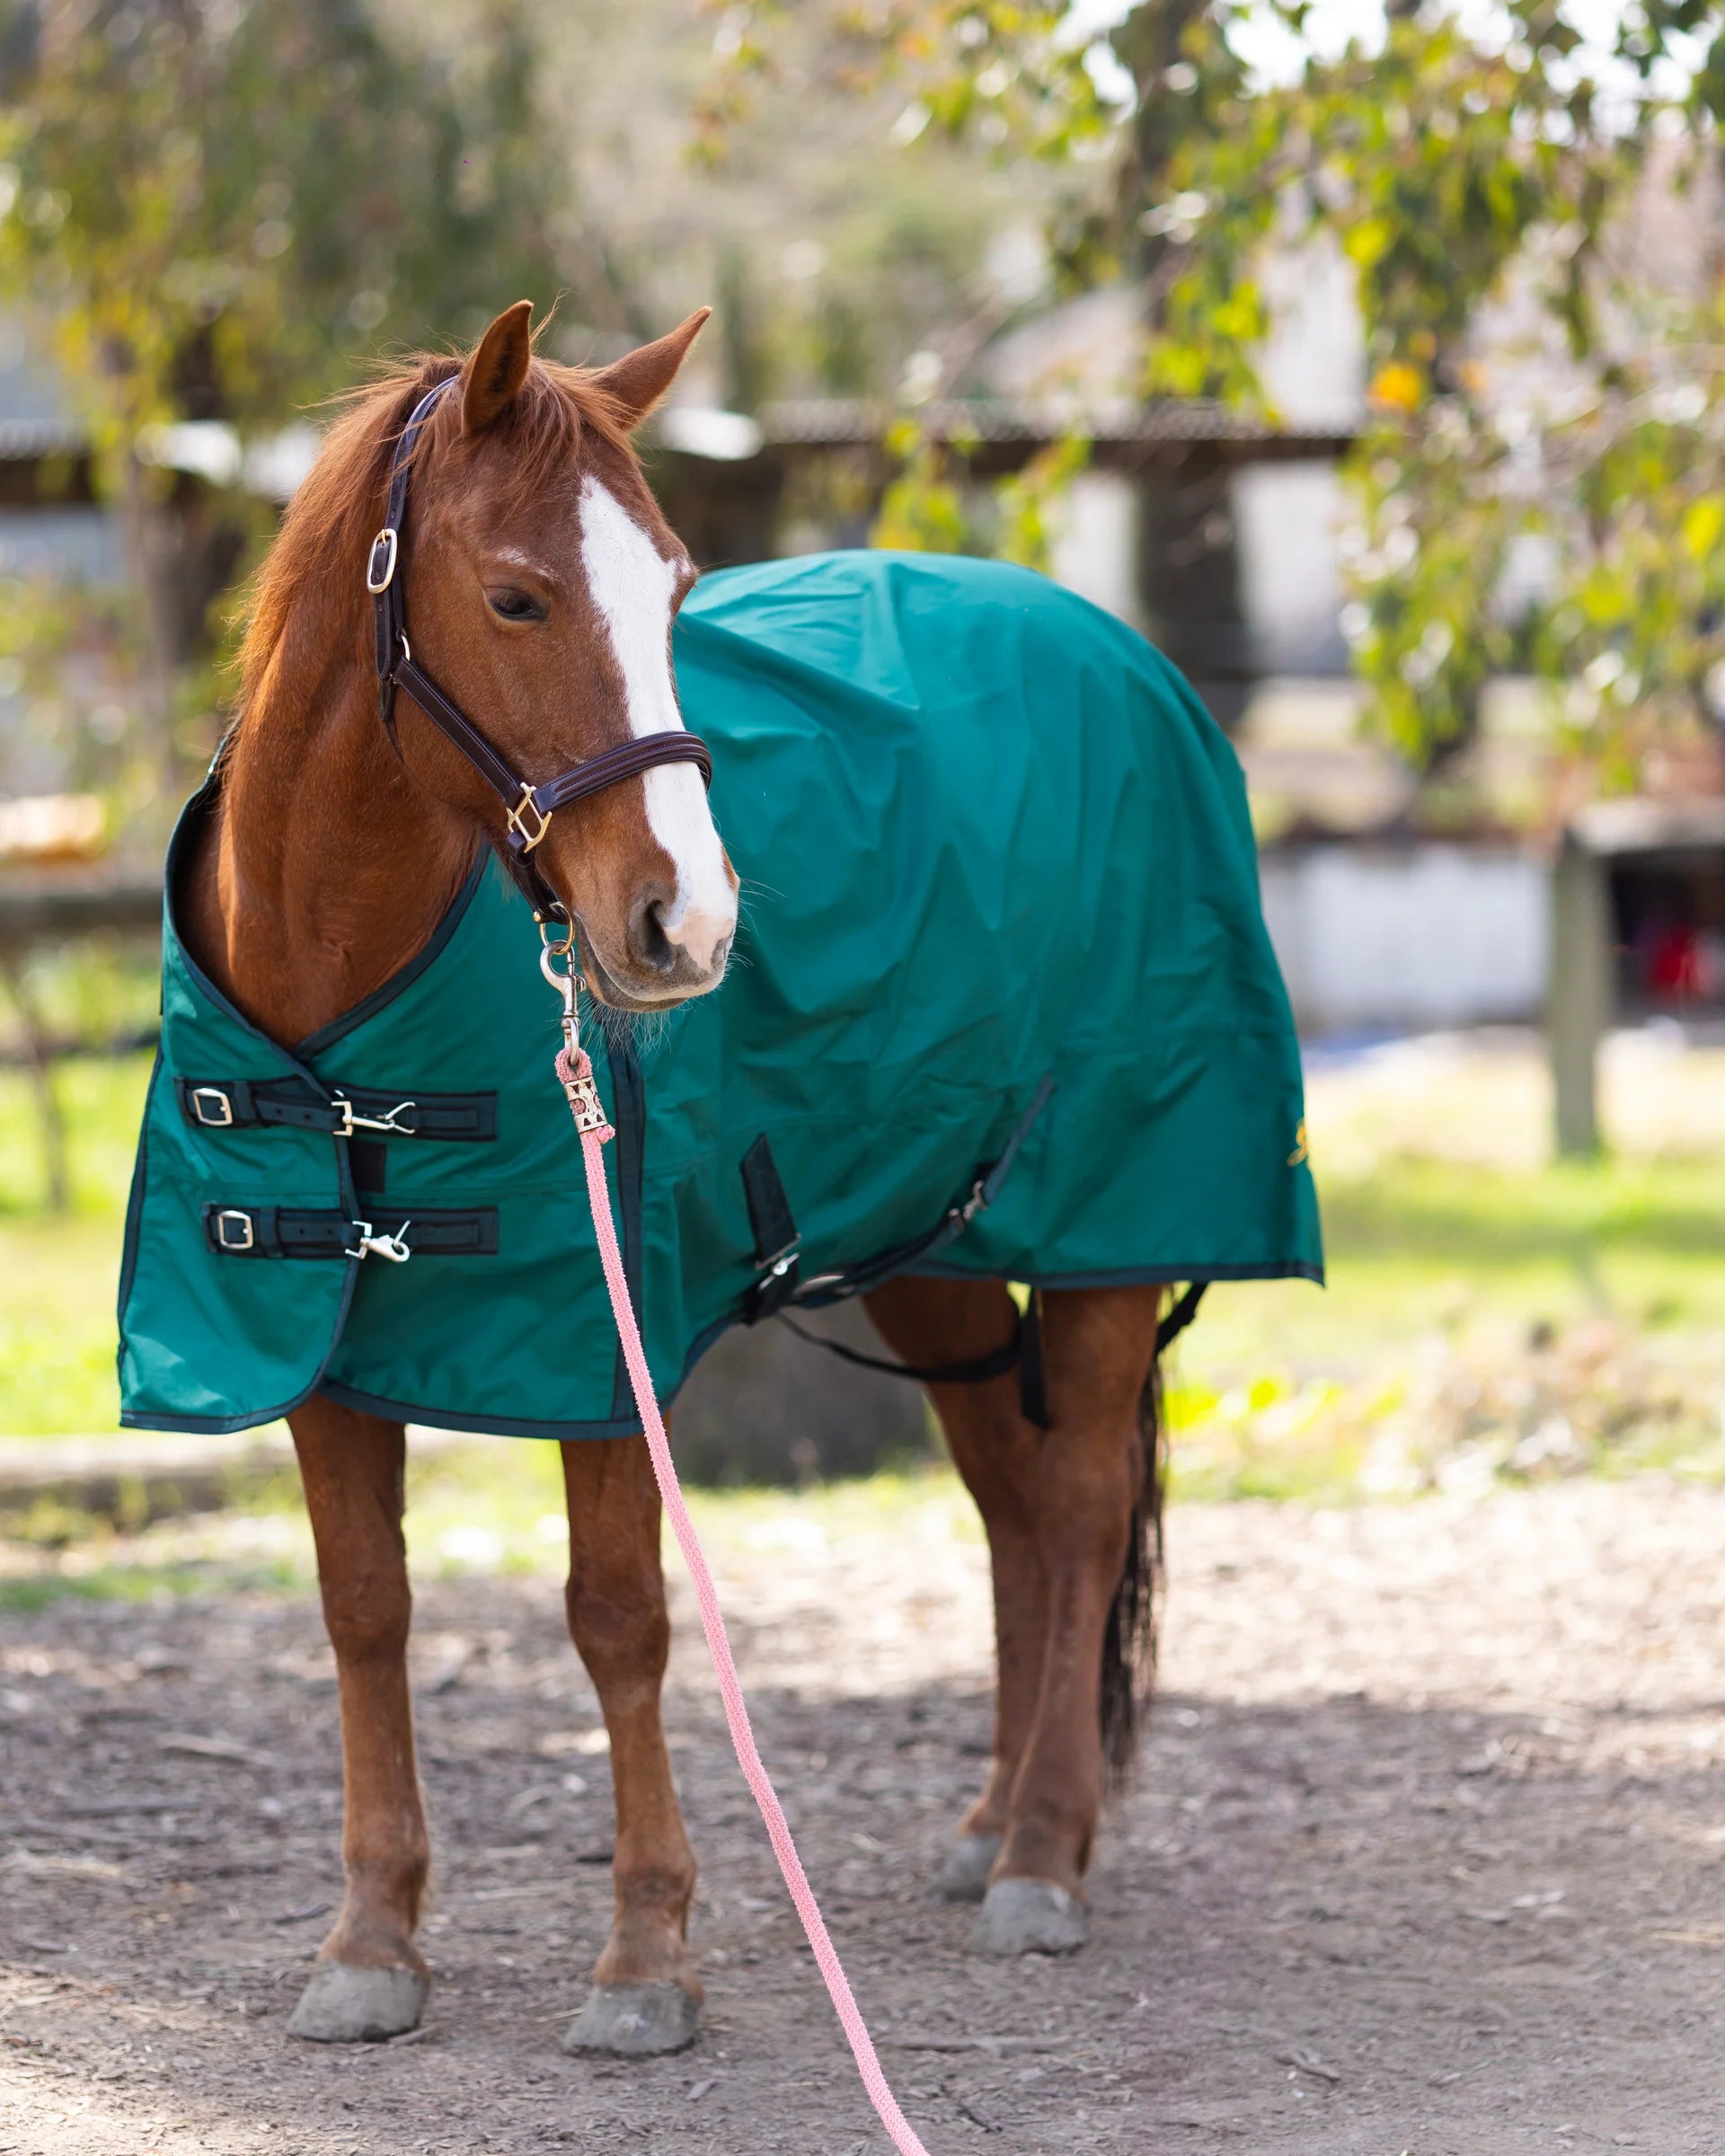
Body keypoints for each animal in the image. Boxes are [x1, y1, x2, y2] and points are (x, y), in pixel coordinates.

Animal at [173, 300, 1182, 2052]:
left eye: (682, 589)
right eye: (518, 595)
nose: (689, 925)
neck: (343, 1002)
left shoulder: (605, 1337)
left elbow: (620, 1617)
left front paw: (645, 1955)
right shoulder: (319, 1349)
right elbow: (365, 1607)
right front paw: (371, 1942)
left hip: (1106, 1230)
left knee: (1076, 1498)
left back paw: (1045, 1856)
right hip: (933, 1251)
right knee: (1012, 1494)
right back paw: (992, 1825)